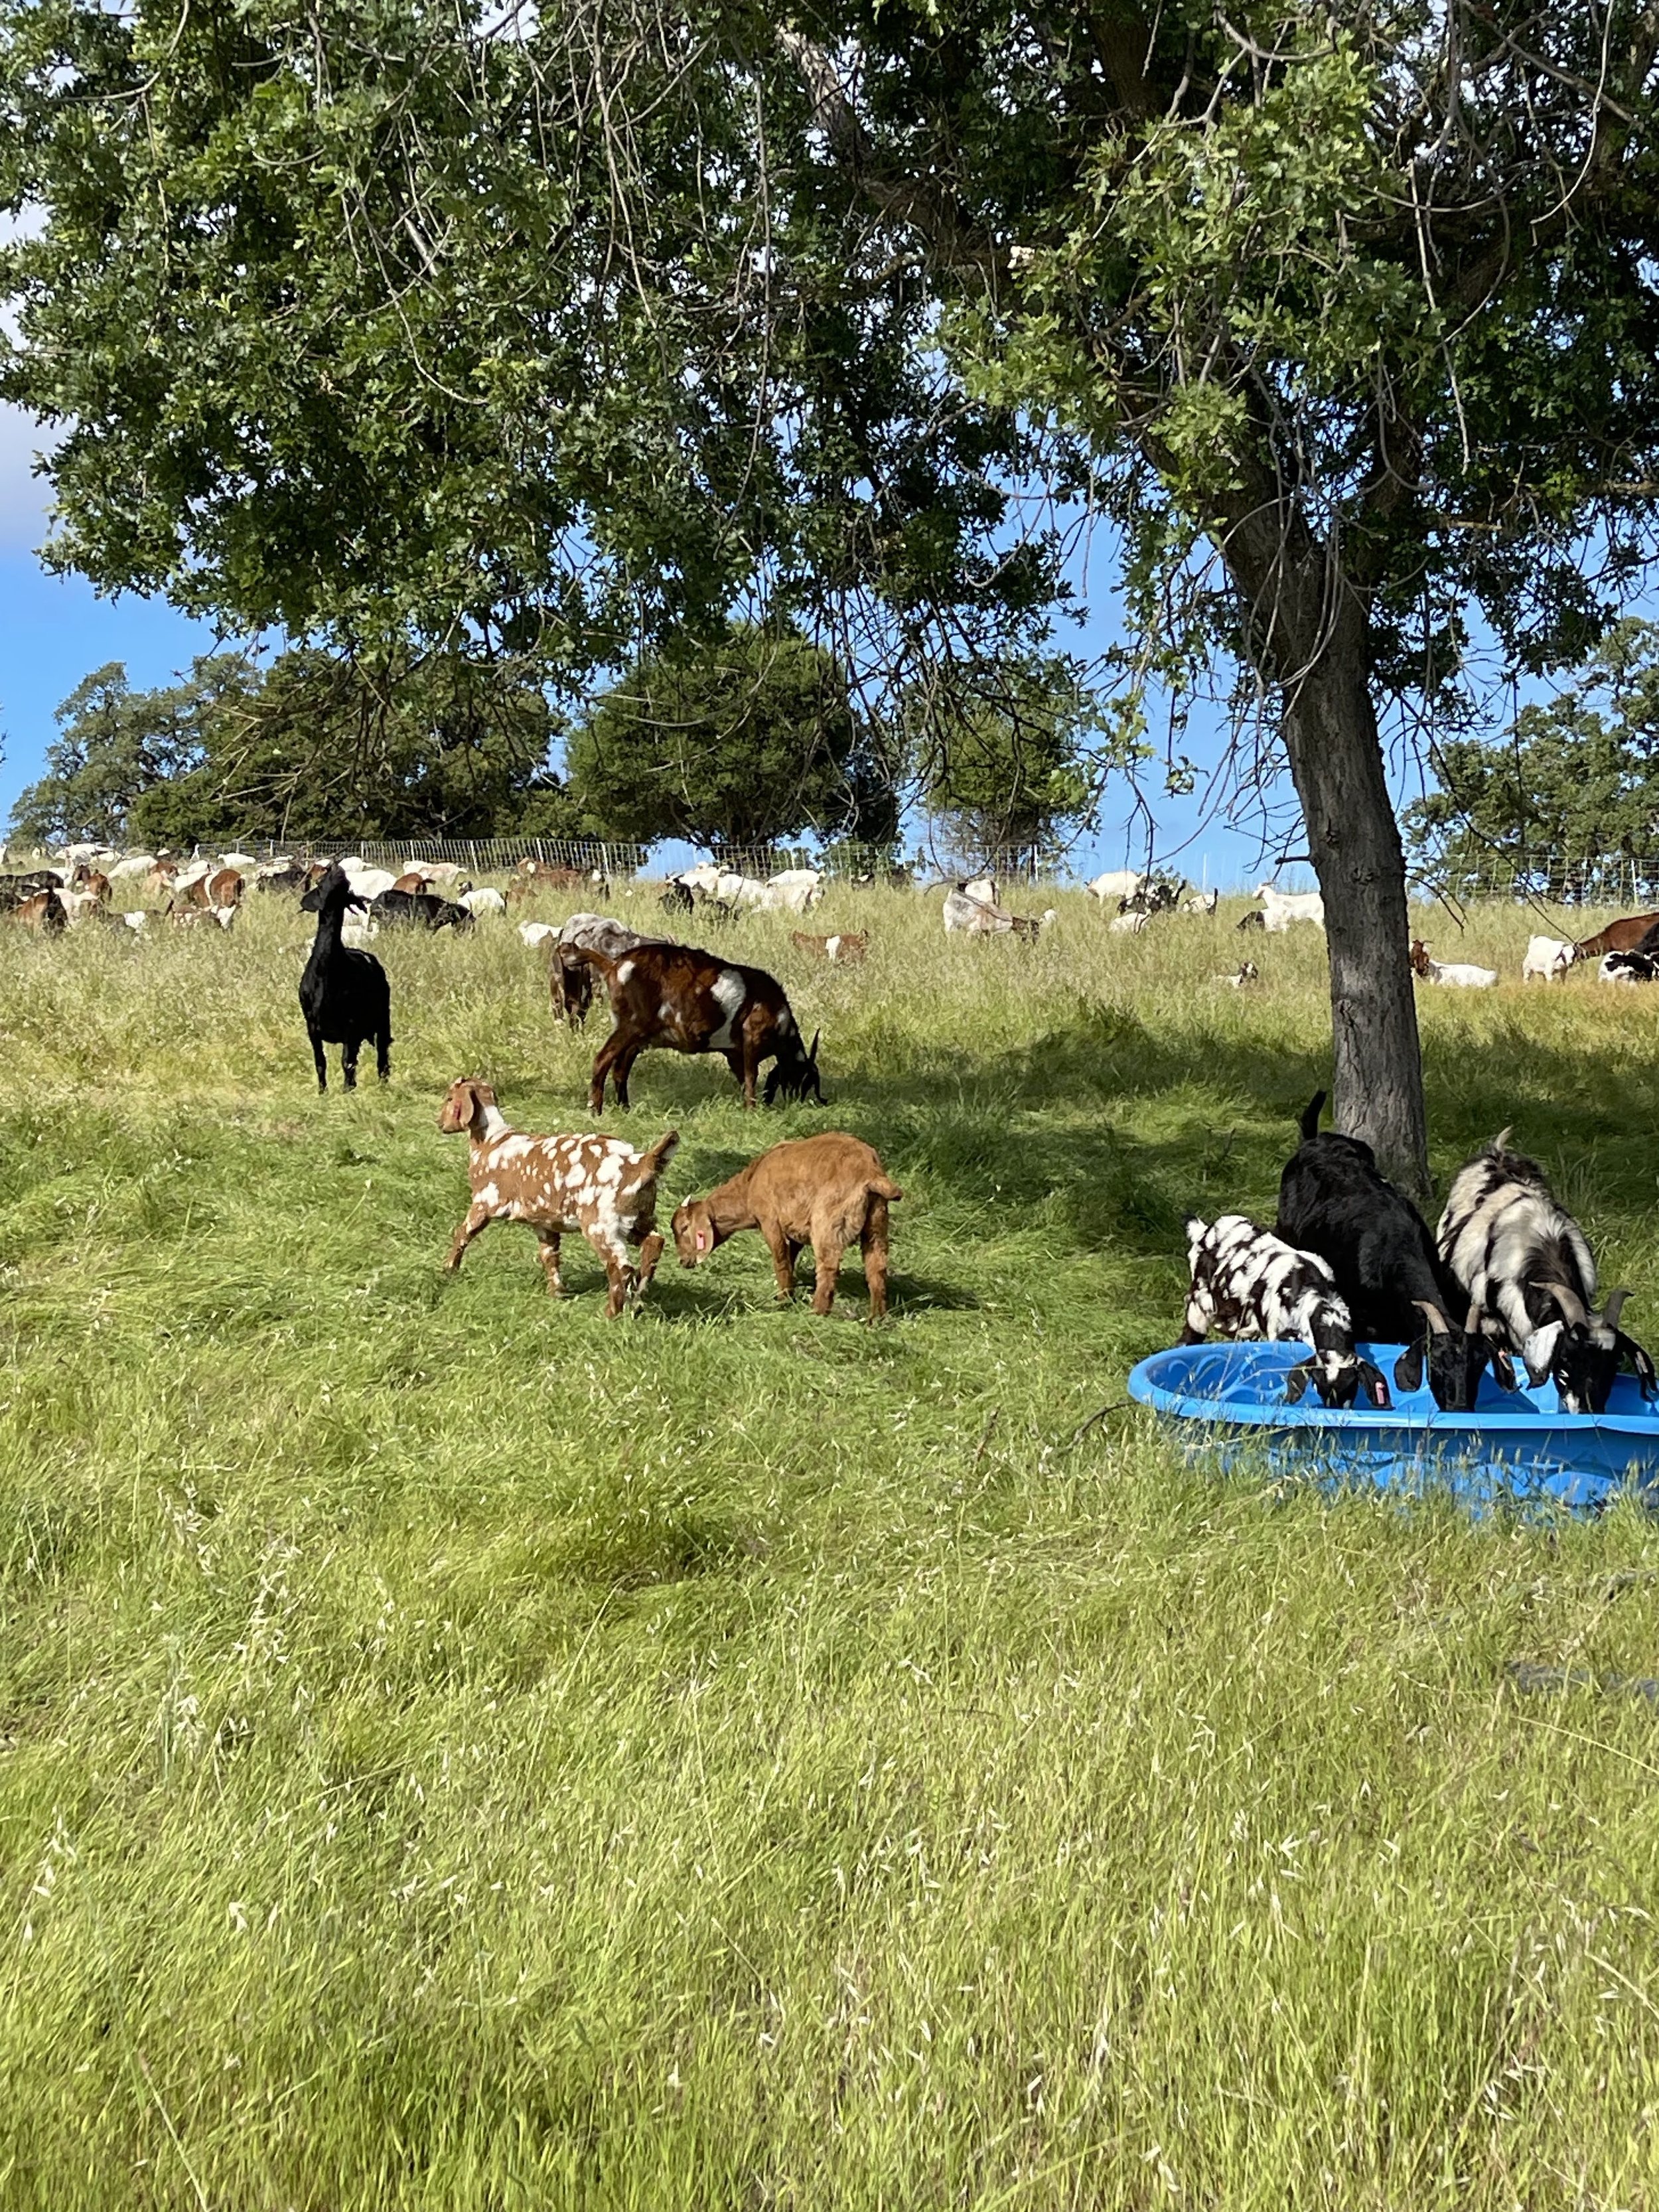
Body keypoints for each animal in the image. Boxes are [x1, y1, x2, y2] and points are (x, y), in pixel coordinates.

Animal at [298, 862, 392, 1090]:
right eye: (320, 883)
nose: (334, 867)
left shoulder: (352, 1025)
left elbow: (347, 1061)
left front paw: (347, 1089)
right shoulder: (311, 1026)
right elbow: (320, 1062)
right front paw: (322, 1091)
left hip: (383, 1018)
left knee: (382, 1054)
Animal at [437, 1077, 677, 1316]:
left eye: (450, 1098)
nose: (439, 1123)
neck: (491, 1141)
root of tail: (640, 1163)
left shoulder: (483, 1203)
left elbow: (463, 1234)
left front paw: (449, 1270)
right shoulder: (543, 1221)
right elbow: (550, 1255)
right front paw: (557, 1293)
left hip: (602, 1224)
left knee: (621, 1267)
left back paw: (611, 1313)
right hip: (639, 1219)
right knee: (653, 1244)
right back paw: (638, 1301)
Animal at [570, 940, 822, 1109]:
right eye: (807, 1079)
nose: (800, 1103)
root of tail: (613, 964)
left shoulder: (734, 1052)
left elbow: (743, 1078)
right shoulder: (752, 1038)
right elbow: (752, 1077)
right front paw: (753, 1109)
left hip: (635, 1033)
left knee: (621, 1067)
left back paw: (625, 1109)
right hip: (631, 1026)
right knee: (602, 1060)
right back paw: (596, 1111)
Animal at [672, 1132, 900, 1317]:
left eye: (684, 1228)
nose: (683, 1261)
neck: (749, 1185)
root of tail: (870, 1172)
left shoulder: (770, 1221)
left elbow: (781, 1257)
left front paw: (783, 1298)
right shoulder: (795, 1227)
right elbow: (791, 1256)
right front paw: (790, 1289)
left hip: (829, 1222)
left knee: (828, 1266)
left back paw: (817, 1311)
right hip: (877, 1222)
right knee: (877, 1268)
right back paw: (876, 1318)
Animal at [1180, 1214, 1391, 1409]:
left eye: (1352, 1386)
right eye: (1318, 1385)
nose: (1334, 1410)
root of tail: (1205, 1231)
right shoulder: (1277, 1334)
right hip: (1199, 1304)